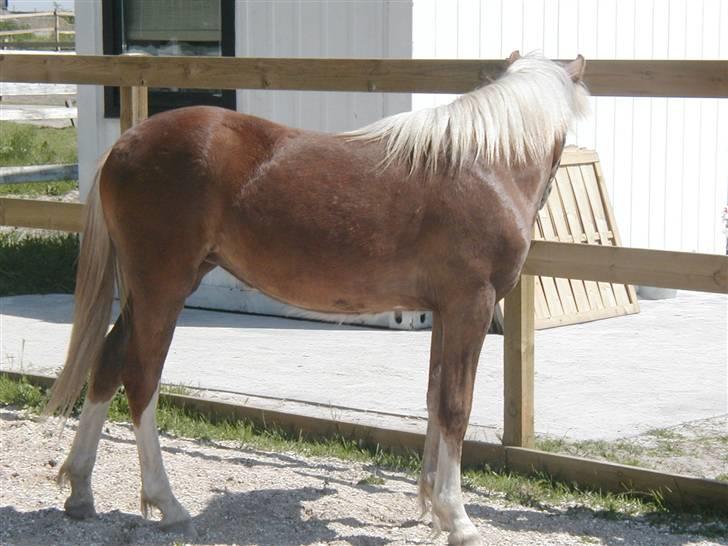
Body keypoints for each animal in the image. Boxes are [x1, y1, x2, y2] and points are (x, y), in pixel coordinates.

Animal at [45, 51, 587, 545]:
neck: (484, 165)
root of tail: (124, 144)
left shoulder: (444, 311)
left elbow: (434, 399)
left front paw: (433, 508)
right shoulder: (470, 304)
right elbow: (456, 407)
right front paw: (458, 520)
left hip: (150, 290)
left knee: (107, 363)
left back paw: (80, 491)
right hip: (163, 287)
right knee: (140, 380)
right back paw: (168, 504)